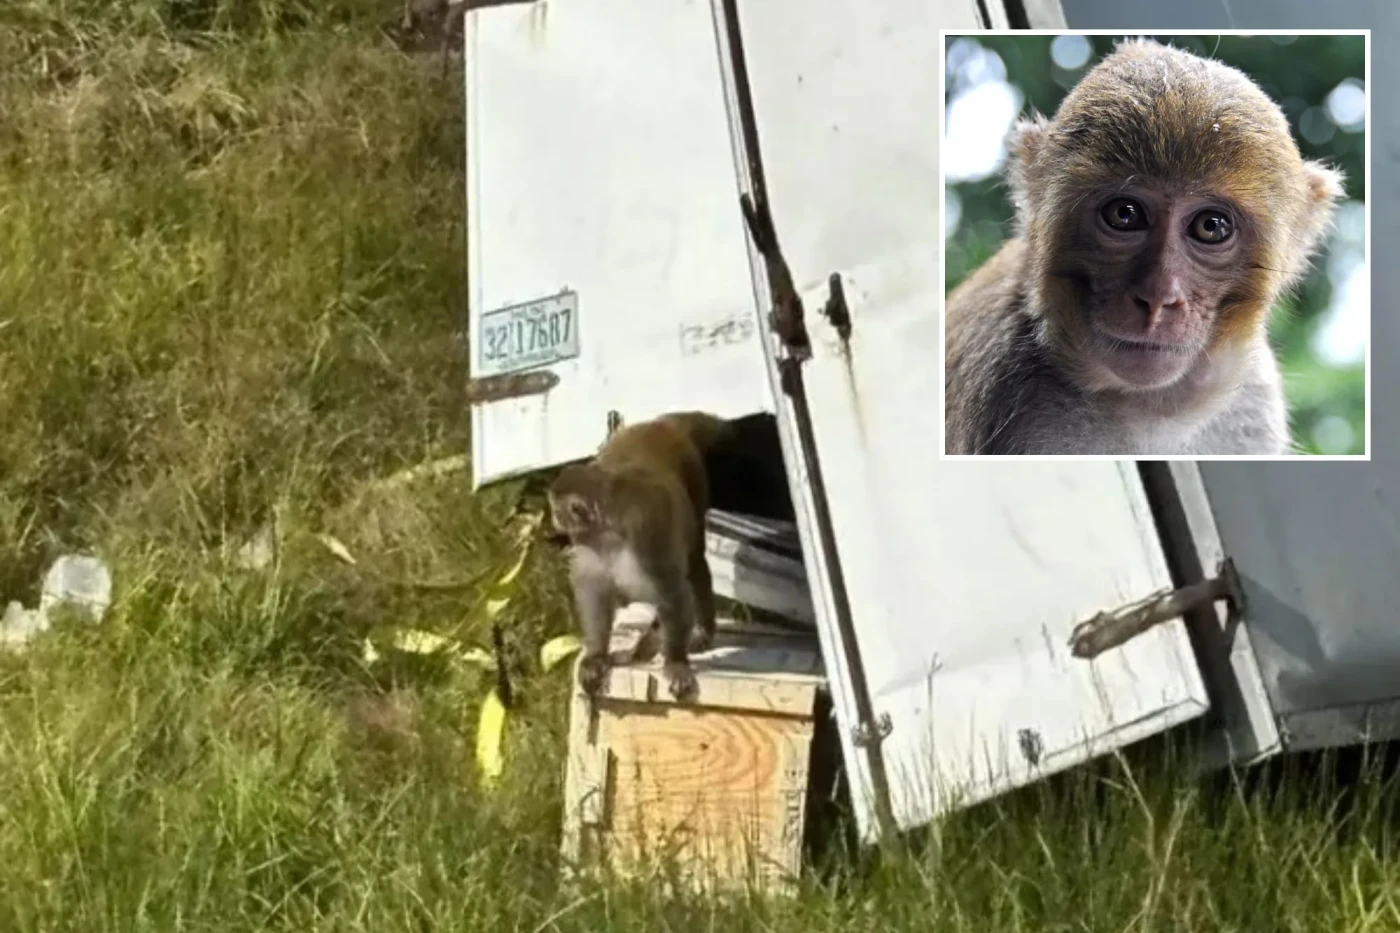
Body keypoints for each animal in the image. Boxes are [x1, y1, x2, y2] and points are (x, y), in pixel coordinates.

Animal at [547, 411, 731, 700]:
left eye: (557, 509)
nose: (553, 519)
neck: (608, 529)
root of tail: (660, 424)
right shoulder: (588, 544)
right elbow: (594, 593)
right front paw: (596, 656)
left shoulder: (646, 535)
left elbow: (673, 592)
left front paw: (675, 662)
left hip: (694, 476)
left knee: (694, 563)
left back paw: (702, 629)